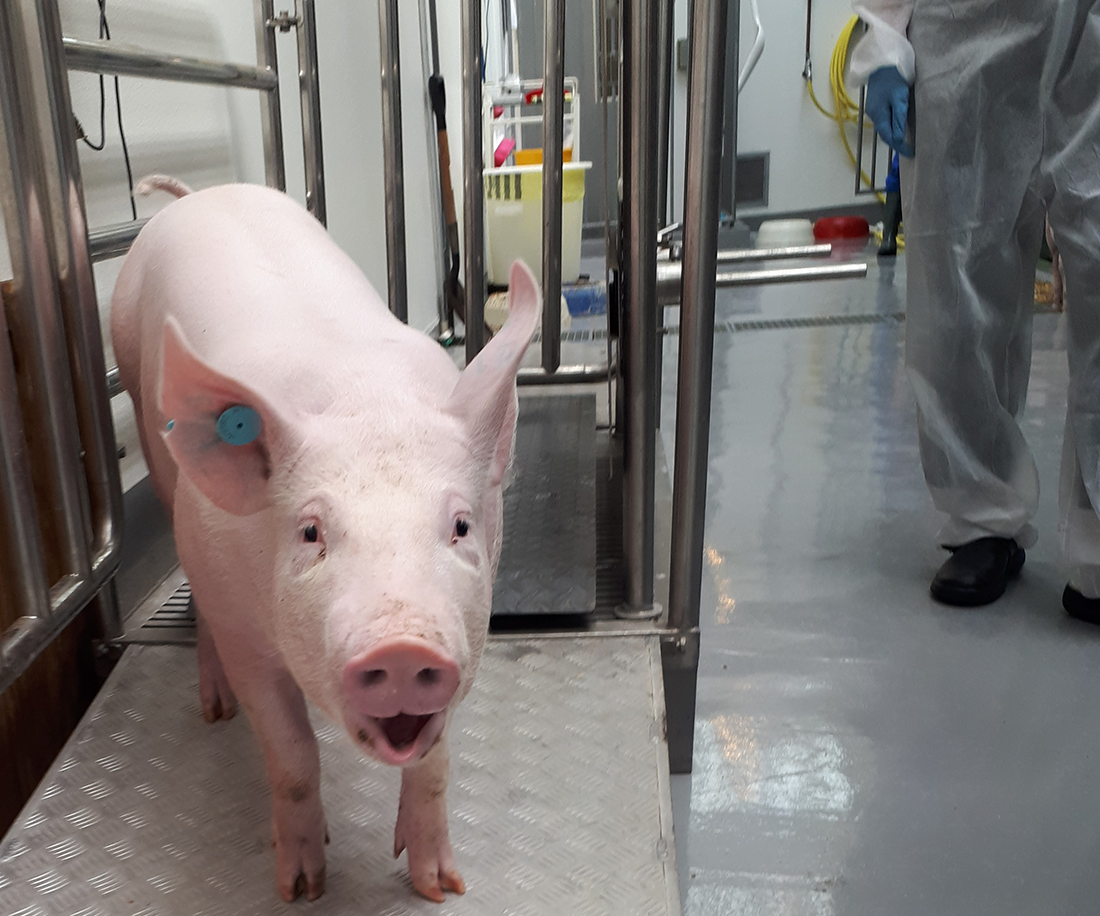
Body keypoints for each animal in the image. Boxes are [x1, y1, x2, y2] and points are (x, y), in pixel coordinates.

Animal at [111, 177, 541, 901]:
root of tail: (200, 192)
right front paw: (301, 889)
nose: (402, 646)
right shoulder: (246, 631)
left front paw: (439, 887)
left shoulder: (465, 634)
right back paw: (215, 711)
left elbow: (435, 760)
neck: (359, 400)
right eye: (311, 531)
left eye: (459, 525)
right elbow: (291, 755)